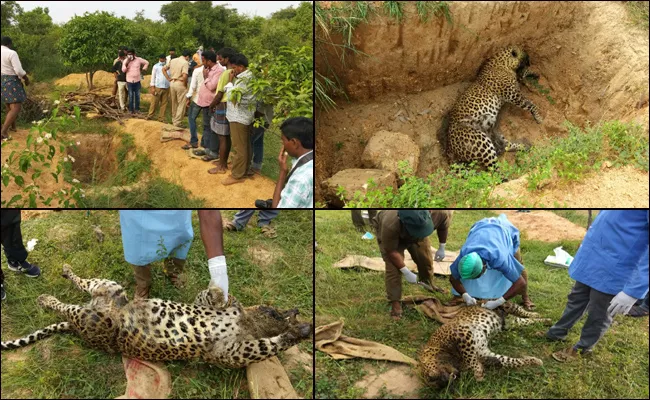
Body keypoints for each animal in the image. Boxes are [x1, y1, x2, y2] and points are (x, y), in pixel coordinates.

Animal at [1, 264, 312, 368]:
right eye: (276, 310)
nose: (295, 312)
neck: (247, 321)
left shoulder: (230, 352)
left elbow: (267, 345)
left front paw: (301, 330)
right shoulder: (213, 316)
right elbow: (210, 296)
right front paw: (219, 292)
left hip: (100, 306)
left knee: (76, 299)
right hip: (104, 301)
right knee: (71, 298)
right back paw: (52, 289)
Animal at [418, 302, 548, 390]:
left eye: (431, 378)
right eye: (440, 386)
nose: (447, 381)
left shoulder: (462, 333)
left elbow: (470, 358)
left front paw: (478, 373)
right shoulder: (483, 352)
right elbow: (510, 361)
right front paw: (534, 361)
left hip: (506, 305)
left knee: (522, 311)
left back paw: (538, 314)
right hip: (511, 323)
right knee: (526, 320)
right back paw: (546, 320)